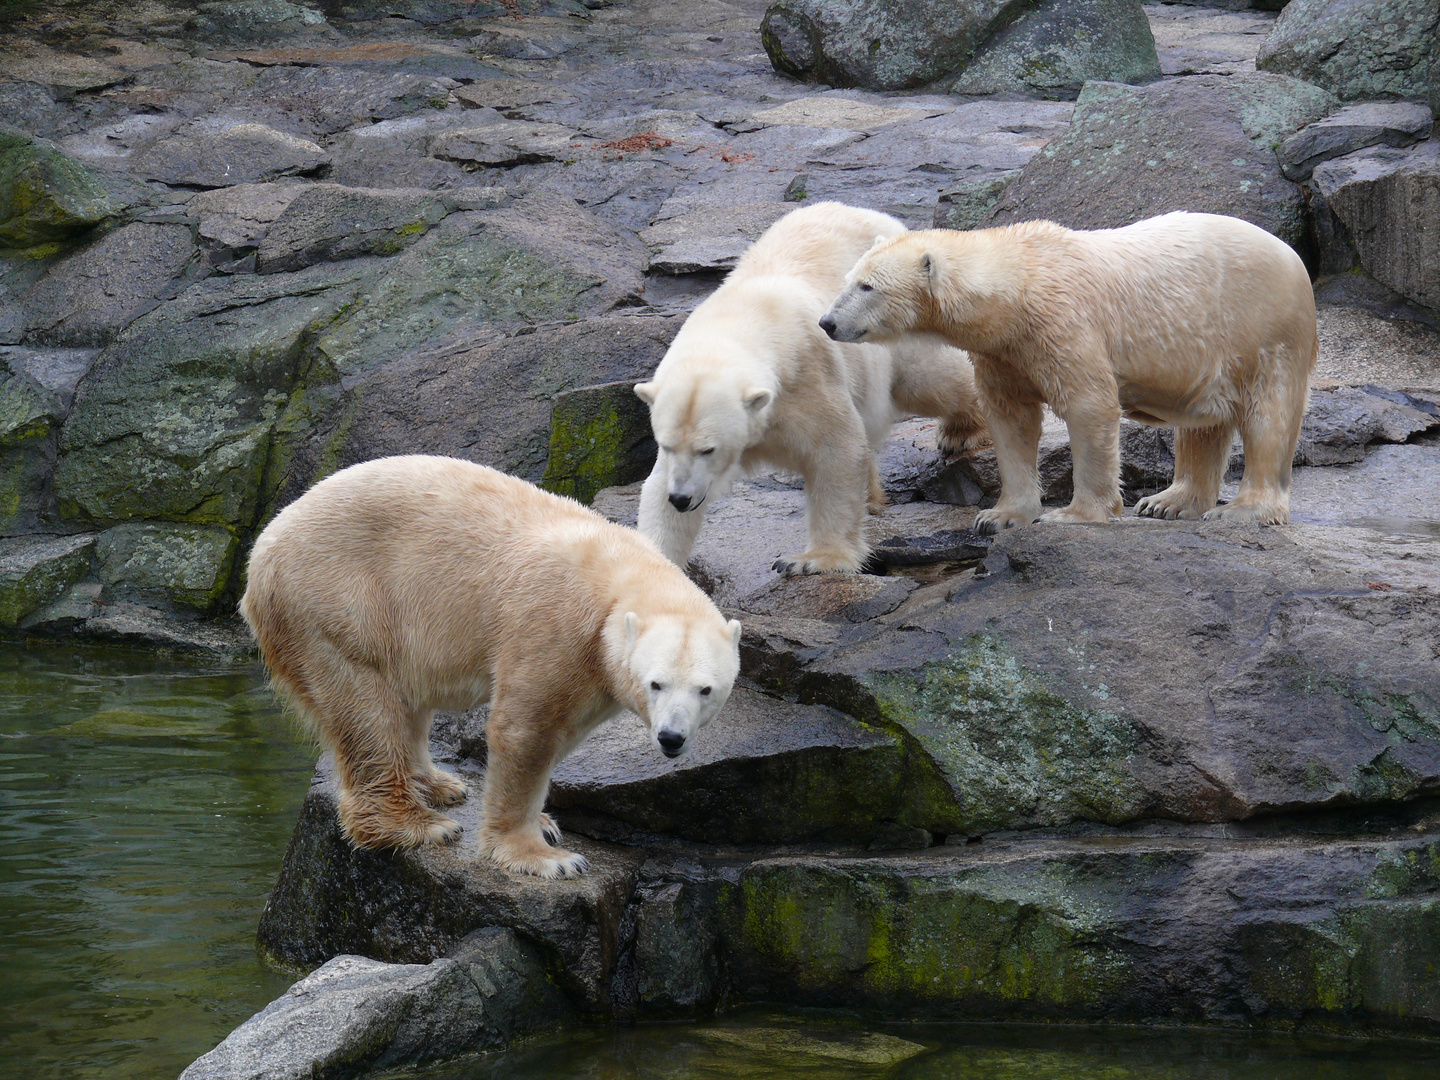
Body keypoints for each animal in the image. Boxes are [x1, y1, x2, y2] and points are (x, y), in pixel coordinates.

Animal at [240, 457, 737, 881]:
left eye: (706, 689)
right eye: (656, 684)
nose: (671, 738)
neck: (619, 577)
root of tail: (262, 549)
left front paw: (545, 820)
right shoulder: (555, 625)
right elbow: (525, 730)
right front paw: (546, 855)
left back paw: (440, 785)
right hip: (334, 601)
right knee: (365, 706)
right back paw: (419, 824)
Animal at [639, 200, 990, 578]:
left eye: (708, 449)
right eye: (666, 444)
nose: (682, 498)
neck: (740, 321)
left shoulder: (807, 373)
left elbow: (836, 450)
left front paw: (810, 560)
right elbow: (656, 489)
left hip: (889, 323)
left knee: (929, 379)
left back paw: (963, 431)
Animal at [823, 211, 1319, 532]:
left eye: (868, 286)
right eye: (848, 280)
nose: (827, 322)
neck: (1017, 285)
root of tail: (1293, 256)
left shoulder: (1061, 322)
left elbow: (1089, 405)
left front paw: (1073, 514)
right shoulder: (1004, 353)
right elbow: (1011, 419)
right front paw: (999, 515)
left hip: (1263, 329)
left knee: (1268, 417)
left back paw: (1241, 510)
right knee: (1204, 424)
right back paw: (1168, 503)